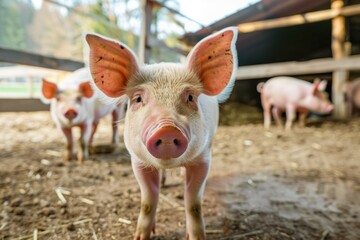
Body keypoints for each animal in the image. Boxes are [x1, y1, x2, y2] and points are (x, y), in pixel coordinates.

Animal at [85, 27, 239, 239]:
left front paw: (195, 236)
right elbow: (148, 201)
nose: (167, 128)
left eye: (190, 97)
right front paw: (141, 236)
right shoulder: (138, 162)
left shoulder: (203, 158)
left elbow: (193, 204)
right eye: (138, 98)